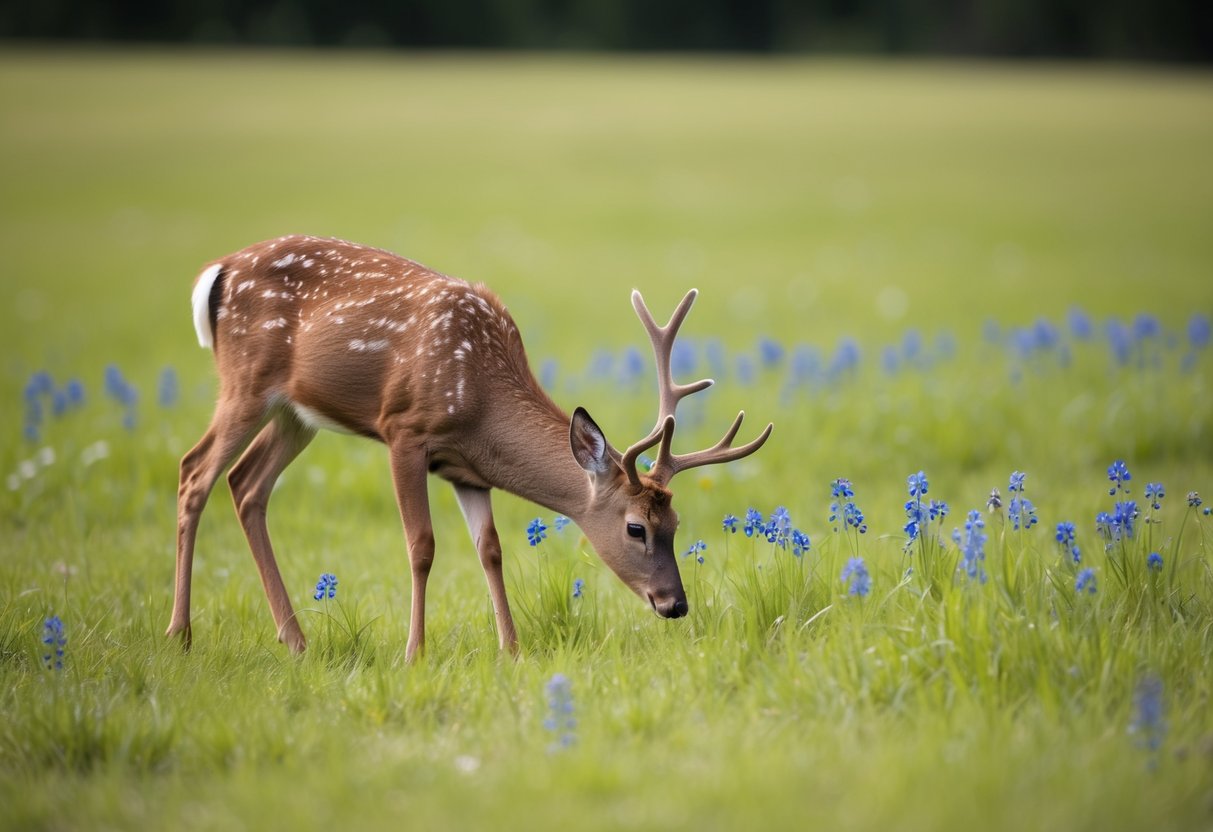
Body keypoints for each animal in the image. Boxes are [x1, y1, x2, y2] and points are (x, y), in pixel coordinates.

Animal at [166, 236, 771, 664]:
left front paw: (513, 650)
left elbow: (491, 549)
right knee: (195, 470)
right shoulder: (404, 430)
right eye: (635, 528)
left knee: (246, 484)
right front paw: (415, 654)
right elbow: (422, 545)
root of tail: (216, 273)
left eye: (675, 524)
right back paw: (180, 633)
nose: (676, 604)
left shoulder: (468, 471)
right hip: (246, 380)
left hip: (298, 414)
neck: (480, 403)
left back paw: (295, 640)